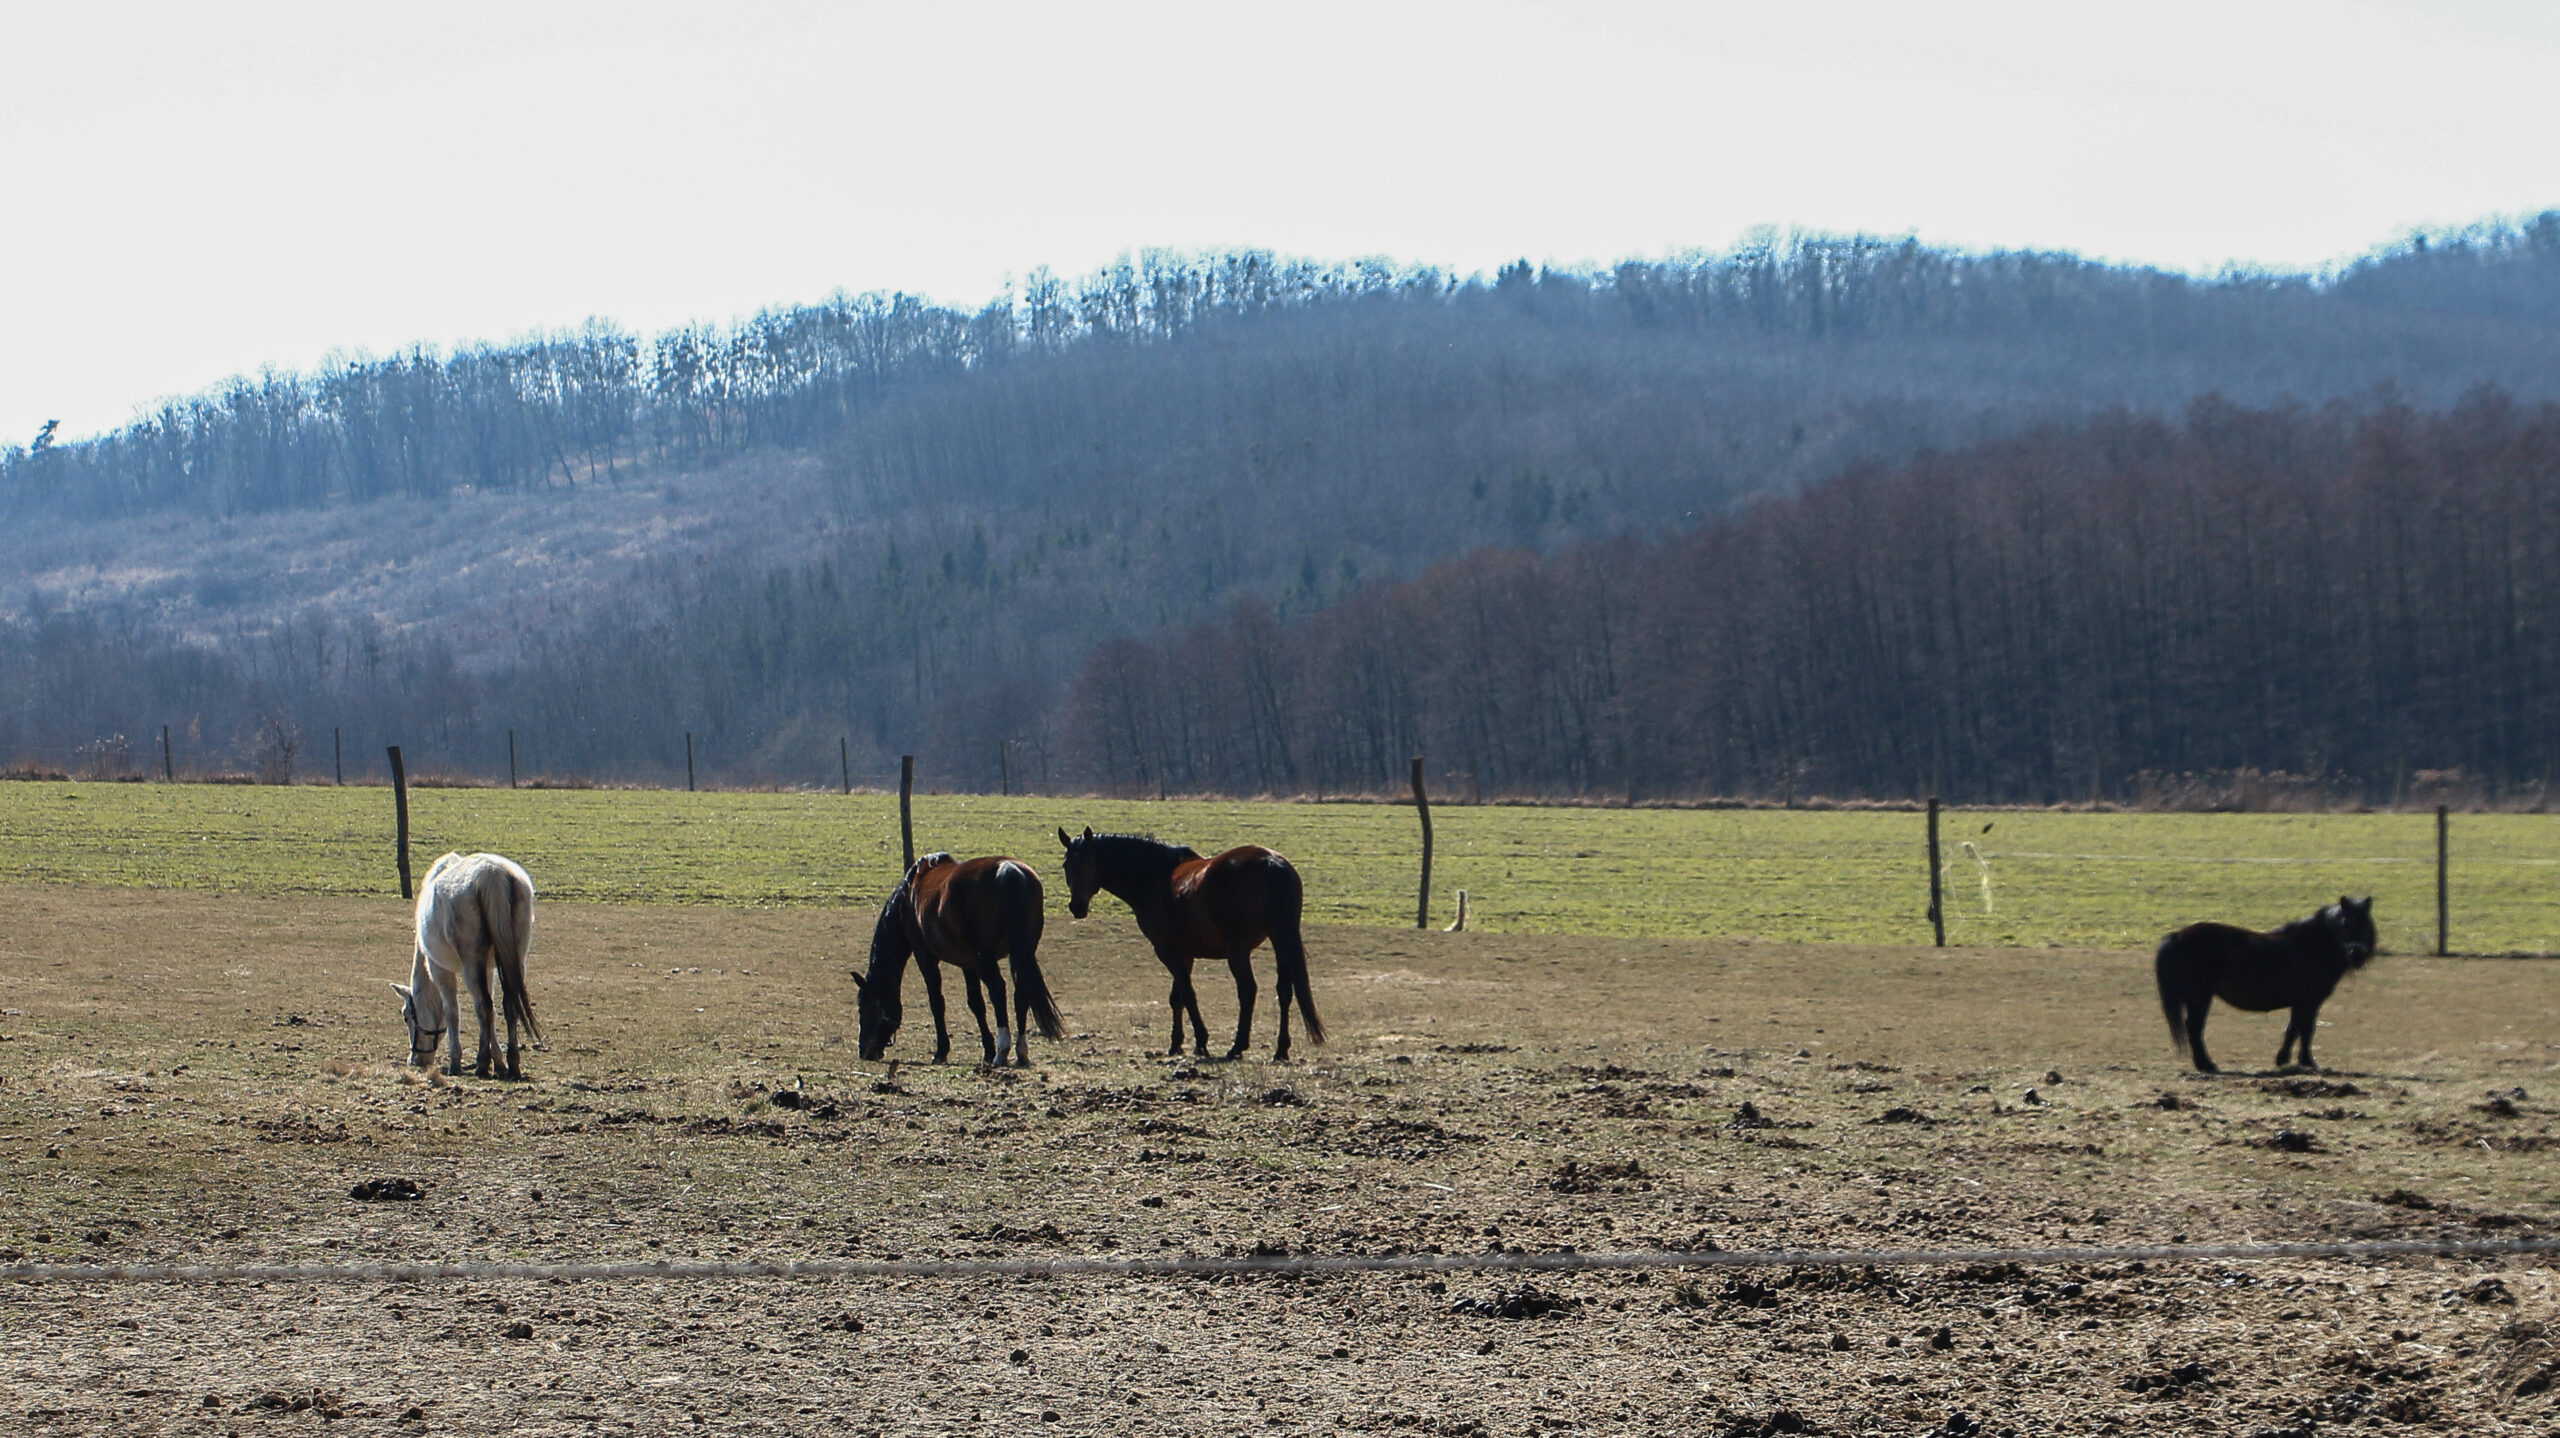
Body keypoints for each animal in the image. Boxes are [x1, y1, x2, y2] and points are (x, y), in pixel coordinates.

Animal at [391, 851, 541, 1079]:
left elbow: (452, 1012)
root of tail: (492, 874)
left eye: (406, 1016)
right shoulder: (488, 970)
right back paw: (513, 1064)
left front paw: (456, 1061)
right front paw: (499, 1062)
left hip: (470, 964)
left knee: (482, 1005)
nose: (415, 1059)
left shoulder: (439, 969)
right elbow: (491, 1014)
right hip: (516, 958)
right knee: (508, 1005)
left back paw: (481, 1064)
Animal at [854, 853, 1062, 1067]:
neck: (908, 897)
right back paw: (1020, 1052)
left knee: (997, 989)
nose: (864, 1051)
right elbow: (976, 1003)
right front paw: (987, 1050)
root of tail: (1008, 869)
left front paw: (941, 1051)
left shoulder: (925, 956)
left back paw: (1002, 1050)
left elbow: (937, 1002)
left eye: (862, 1008)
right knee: (1021, 993)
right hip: (1020, 953)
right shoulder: (968, 964)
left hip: (985, 959)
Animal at [1056, 826, 1324, 1062]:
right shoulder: (1186, 953)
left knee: (1248, 990)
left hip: (1239, 950)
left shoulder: (1167, 951)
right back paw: (1281, 1049)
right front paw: (1177, 1043)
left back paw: (1237, 1046)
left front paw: (1201, 1042)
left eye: (1089, 863)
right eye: (1067, 865)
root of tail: (1271, 863)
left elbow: (1187, 993)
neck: (1154, 876)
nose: (1076, 907)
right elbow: (1176, 997)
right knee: (1284, 990)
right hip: (1280, 939)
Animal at [2154, 895, 2376, 1074]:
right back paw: (2206, 1065)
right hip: (2200, 997)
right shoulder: (2308, 1001)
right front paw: (2291, 1060)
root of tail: (2175, 936)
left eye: (2366, 924)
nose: (2356, 954)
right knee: (2194, 1027)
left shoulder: (2307, 1003)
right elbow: (2299, 1029)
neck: (2311, 947)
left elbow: (2301, 1029)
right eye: (2344, 923)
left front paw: (2300, 1061)